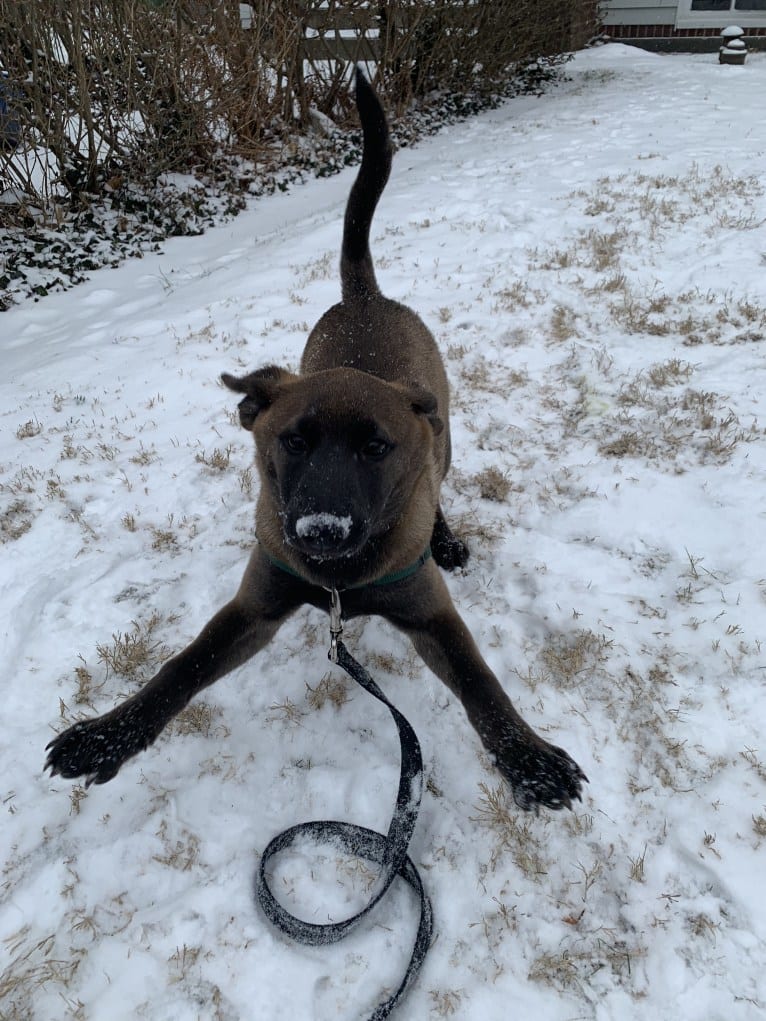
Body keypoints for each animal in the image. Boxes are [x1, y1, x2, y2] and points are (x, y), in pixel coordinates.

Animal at [48, 67, 588, 812]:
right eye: (293, 442)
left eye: (375, 447)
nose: (321, 531)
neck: (340, 582)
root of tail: (366, 295)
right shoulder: (253, 606)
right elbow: (180, 667)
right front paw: (107, 734)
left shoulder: (432, 615)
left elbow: (482, 682)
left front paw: (529, 758)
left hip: (444, 440)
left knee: (440, 482)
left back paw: (446, 537)